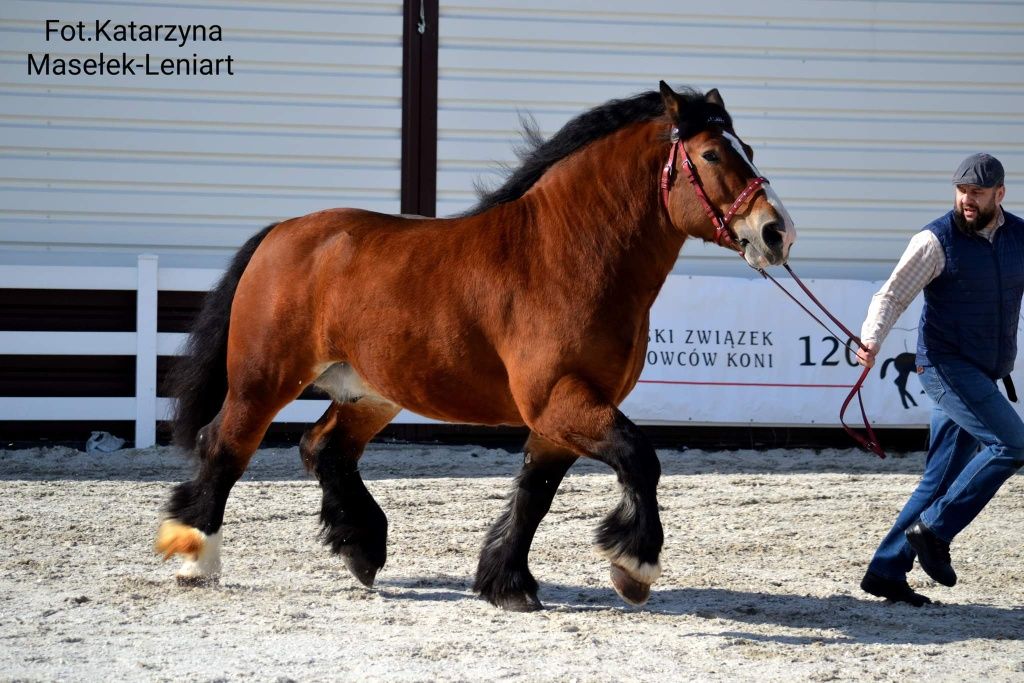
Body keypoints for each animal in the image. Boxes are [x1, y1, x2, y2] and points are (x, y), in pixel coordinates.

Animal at [155, 82, 794, 610]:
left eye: (748, 148)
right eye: (711, 155)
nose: (776, 231)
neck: (565, 254)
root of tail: (283, 233)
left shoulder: (561, 412)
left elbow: (535, 493)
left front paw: (506, 583)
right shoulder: (560, 400)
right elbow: (640, 457)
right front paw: (633, 566)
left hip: (371, 392)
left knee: (325, 449)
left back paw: (362, 549)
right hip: (264, 381)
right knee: (226, 447)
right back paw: (196, 557)